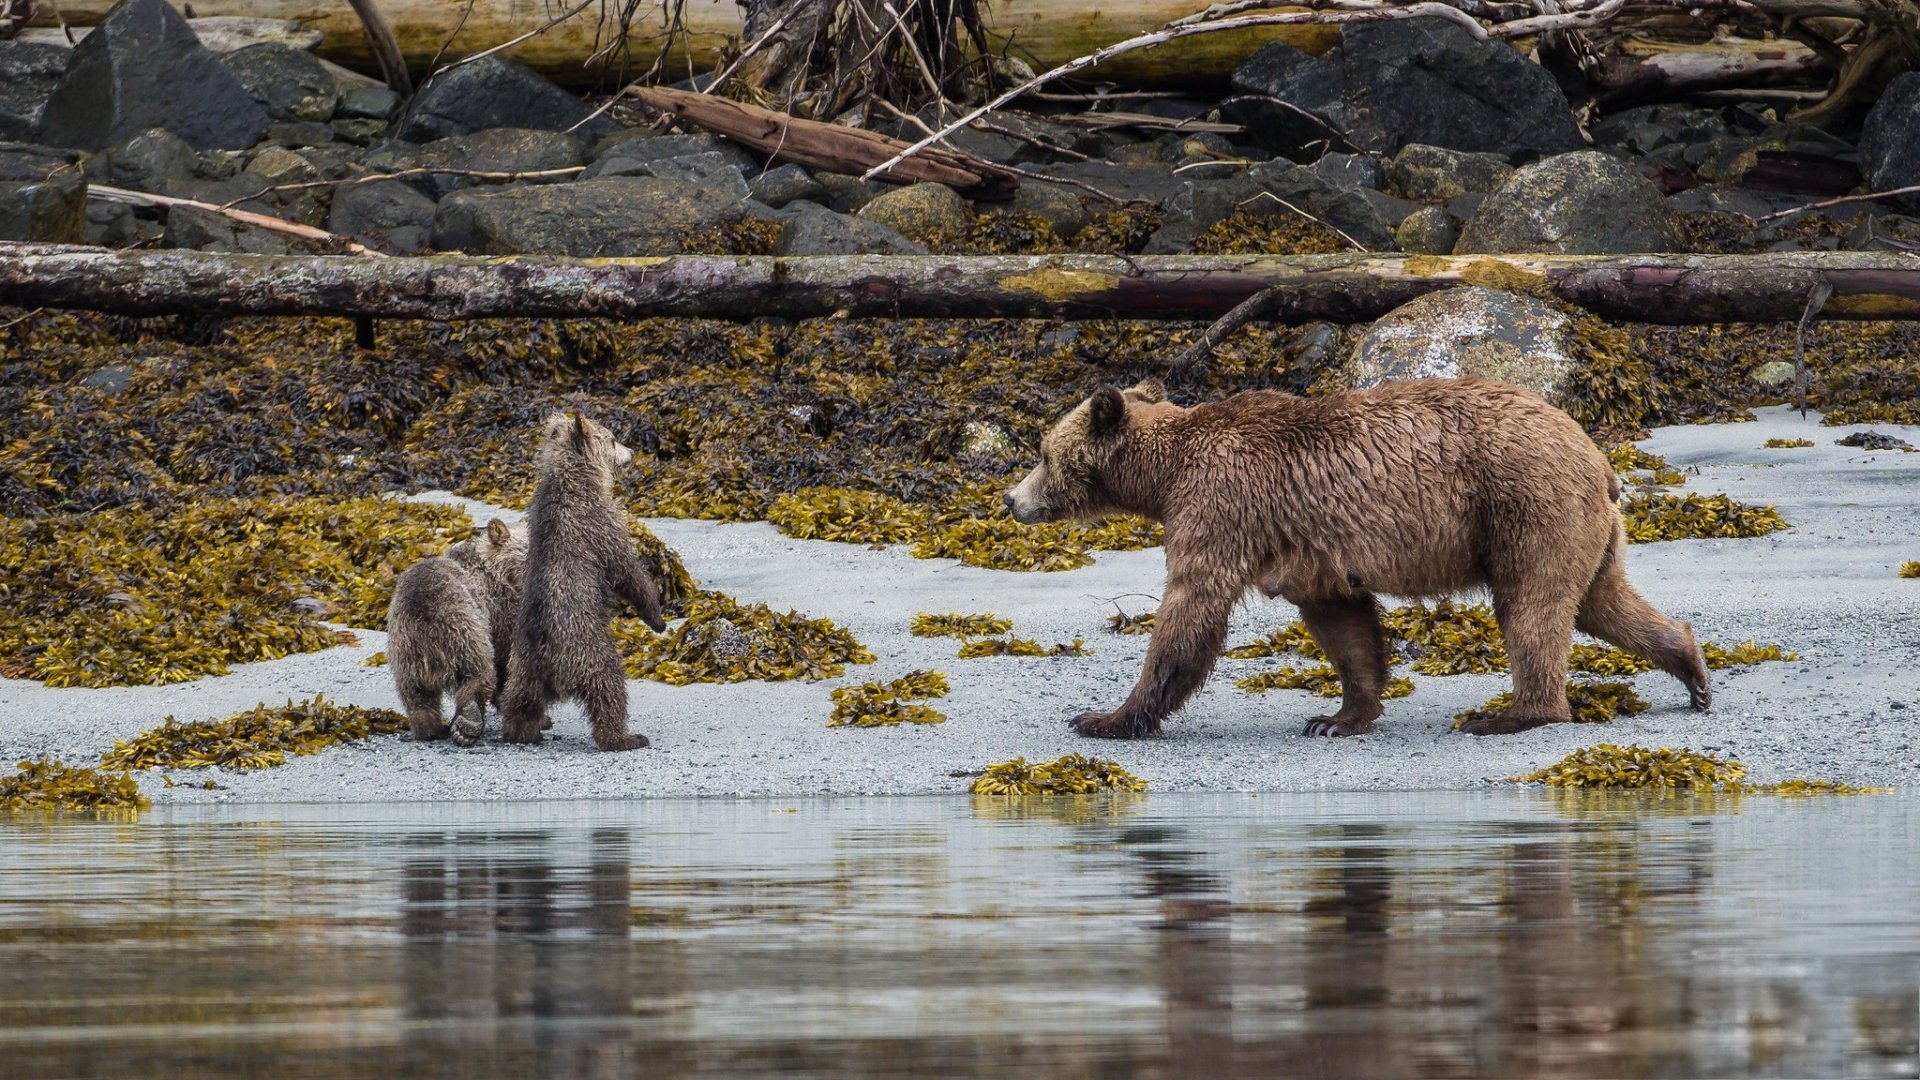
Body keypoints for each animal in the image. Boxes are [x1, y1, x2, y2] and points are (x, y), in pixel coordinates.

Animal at [387, 517, 528, 743]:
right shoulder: (499, 610)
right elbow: (505, 657)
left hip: (403, 650)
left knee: (416, 695)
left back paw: (430, 729)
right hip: (464, 629)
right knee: (479, 673)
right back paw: (467, 724)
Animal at [499, 413, 667, 752]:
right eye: (613, 439)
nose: (631, 452)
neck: (577, 480)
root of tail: (549, 664)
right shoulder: (599, 523)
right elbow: (627, 571)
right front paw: (657, 618)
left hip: (521, 662)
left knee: (520, 700)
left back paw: (521, 731)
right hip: (587, 648)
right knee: (609, 686)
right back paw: (626, 737)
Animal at [1003, 376, 1710, 739]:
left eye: (1041, 452)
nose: (1012, 499)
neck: (1165, 473)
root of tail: (1597, 456)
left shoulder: (1221, 505)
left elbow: (1191, 607)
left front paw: (1105, 716)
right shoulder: (1305, 544)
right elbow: (1343, 623)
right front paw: (1339, 716)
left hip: (1524, 507)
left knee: (1531, 609)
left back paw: (1511, 714)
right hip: (1577, 525)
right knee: (1600, 600)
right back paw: (1691, 668)